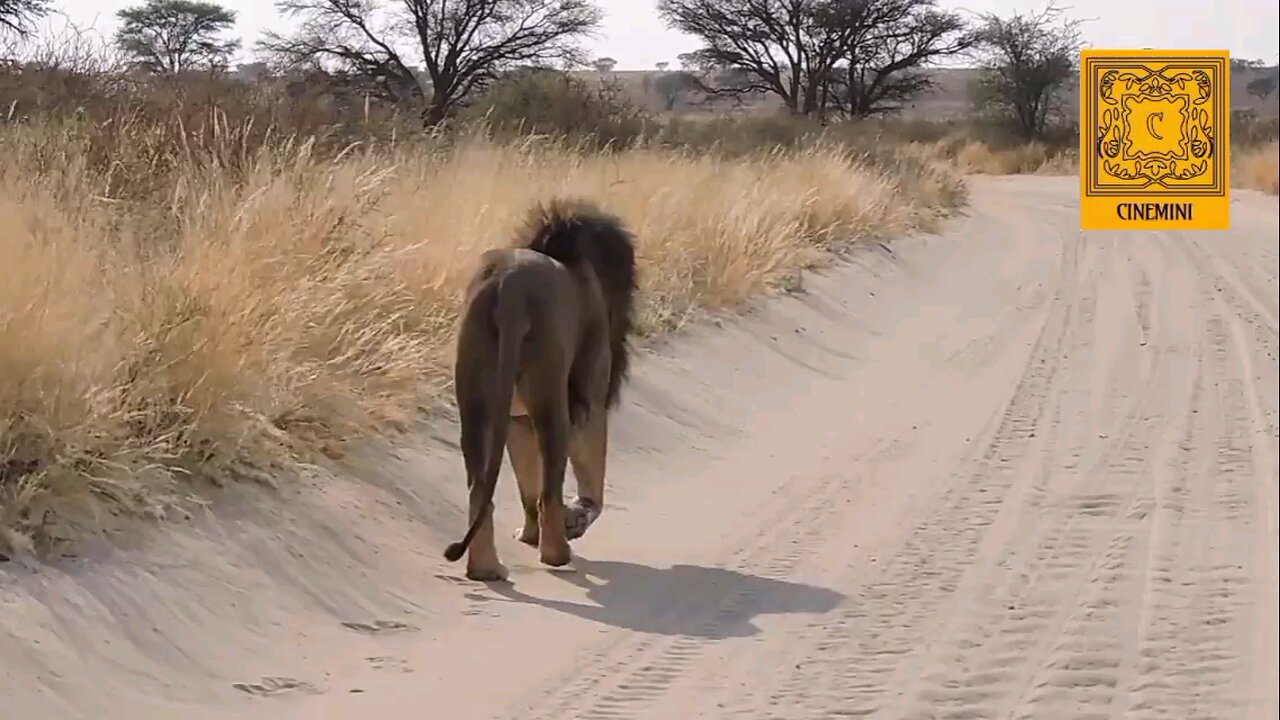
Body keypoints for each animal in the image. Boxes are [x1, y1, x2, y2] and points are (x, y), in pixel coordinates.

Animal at [442, 198, 637, 579]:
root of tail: (509, 287)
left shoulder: (516, 419)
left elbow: (525, 484)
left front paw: (529, 534)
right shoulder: (588, 398)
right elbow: (592, 483)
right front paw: (577, 517)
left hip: (476, 401)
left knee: (481, 489)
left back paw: (486, 568)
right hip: (551, 394)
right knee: (550, 489)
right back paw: (556, 553)